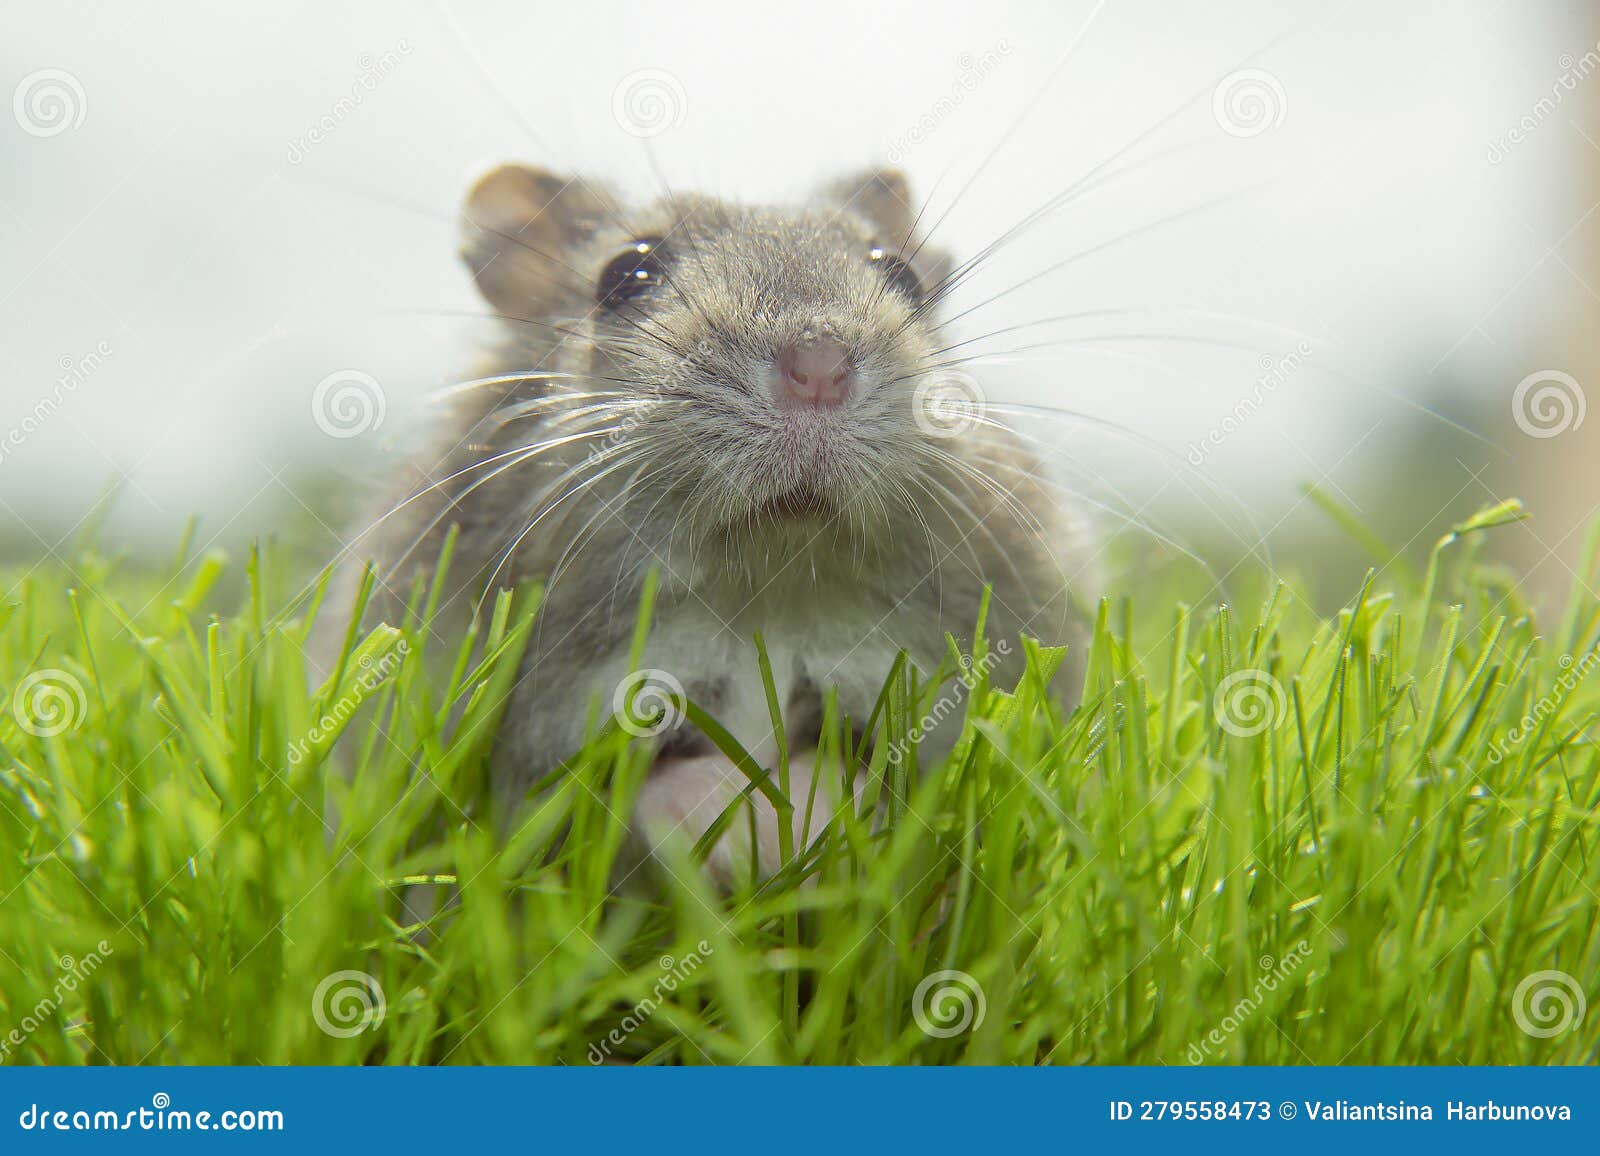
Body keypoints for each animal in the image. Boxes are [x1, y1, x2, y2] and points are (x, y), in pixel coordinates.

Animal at [334, 164, 1088, 883]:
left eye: (902, 275)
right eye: (626, 275)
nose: (818, 366)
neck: (767, 581)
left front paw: (787, 833)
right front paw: (739, 831)